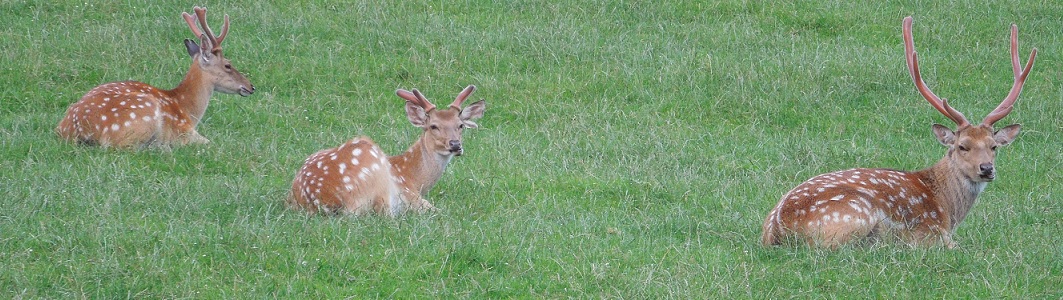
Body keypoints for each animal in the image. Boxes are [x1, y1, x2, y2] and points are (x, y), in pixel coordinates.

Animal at [55, 5, 254, 148]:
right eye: (228, 65)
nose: (251, 86)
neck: (187, 108)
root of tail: (78, 129)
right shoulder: (184, 130)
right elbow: (210, 142)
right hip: (142, 114)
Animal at [291, 85, 488, 215]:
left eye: (460, 125)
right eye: (433, 126)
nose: (455, 144)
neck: (414, 178)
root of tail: (324, 202)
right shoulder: (410, 195)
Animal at [761, 17, 1033, 251]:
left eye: (993, 146)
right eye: (962, 146)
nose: (987, 168)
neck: (946, 207)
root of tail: (777, 230)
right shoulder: (932, 232)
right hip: (855, 213)